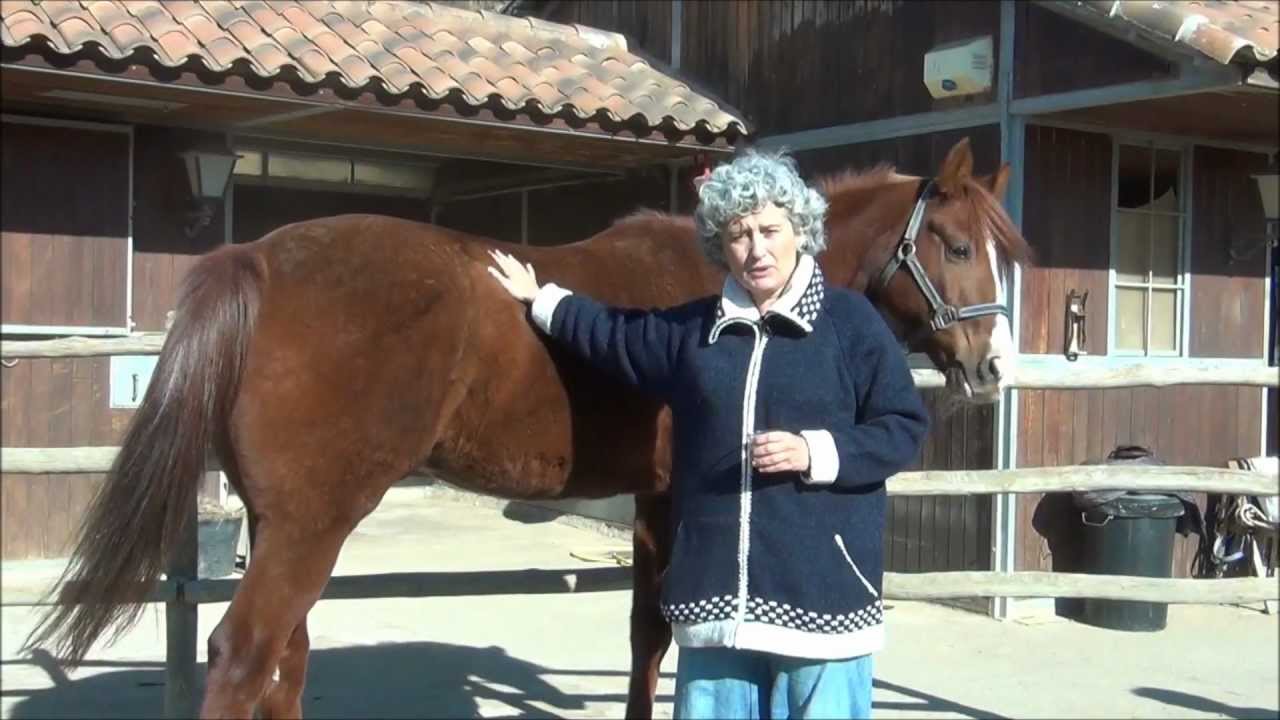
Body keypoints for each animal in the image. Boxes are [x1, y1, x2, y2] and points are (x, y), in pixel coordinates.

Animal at [25, 137, 1029, 718]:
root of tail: (259, 259)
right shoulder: (676, 497)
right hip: (312, 524)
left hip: (286, 524)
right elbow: (665, 636)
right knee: (244, 659)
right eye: (954, 245)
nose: (994, 369)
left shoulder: (651, 502)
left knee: (287, 660)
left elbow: (644, 634)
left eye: (995, 248)